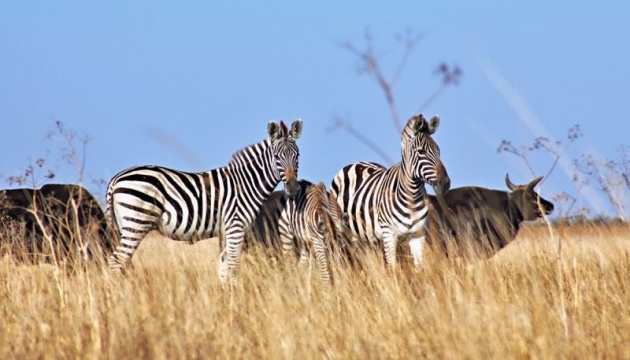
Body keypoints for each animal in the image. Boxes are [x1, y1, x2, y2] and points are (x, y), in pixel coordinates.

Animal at [106, 119, 304, 282]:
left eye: (297, 155)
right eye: (277, 157)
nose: (293, 188)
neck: (246, 183)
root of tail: (116, 179)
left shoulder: (225, 231)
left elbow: (224, 267)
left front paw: (226, 297)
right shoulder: (236, 226)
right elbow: (233, 266)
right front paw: (234, 298)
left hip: (125, 225)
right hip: (137, 221)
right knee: (116, 261)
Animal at [328, 114, 452, 268]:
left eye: (438, 150)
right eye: (421, 152)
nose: (445, 183)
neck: (412, 195)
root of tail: (355, 163)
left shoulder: (417, 233)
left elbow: (419, 266)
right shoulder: (389, 234)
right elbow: (393, 268)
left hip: (368, 237)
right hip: (342, 230)